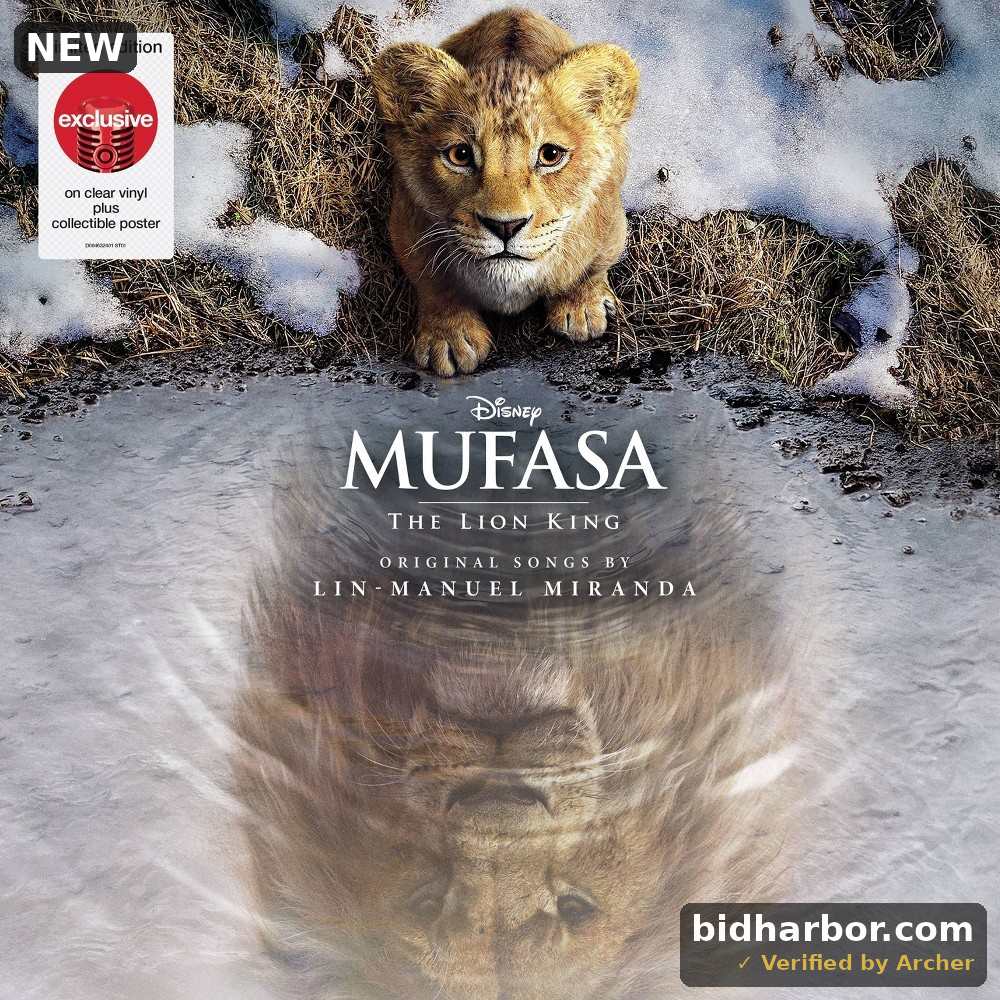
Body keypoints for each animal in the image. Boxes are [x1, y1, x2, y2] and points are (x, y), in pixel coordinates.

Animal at [370, 8, 639, 377]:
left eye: (550, 155)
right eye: (460, 155)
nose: (506, 226)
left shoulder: (611, 223)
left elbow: (590, 267)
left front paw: (582, 308)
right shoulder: (406, 224)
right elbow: (434, 283)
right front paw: (448, 338)